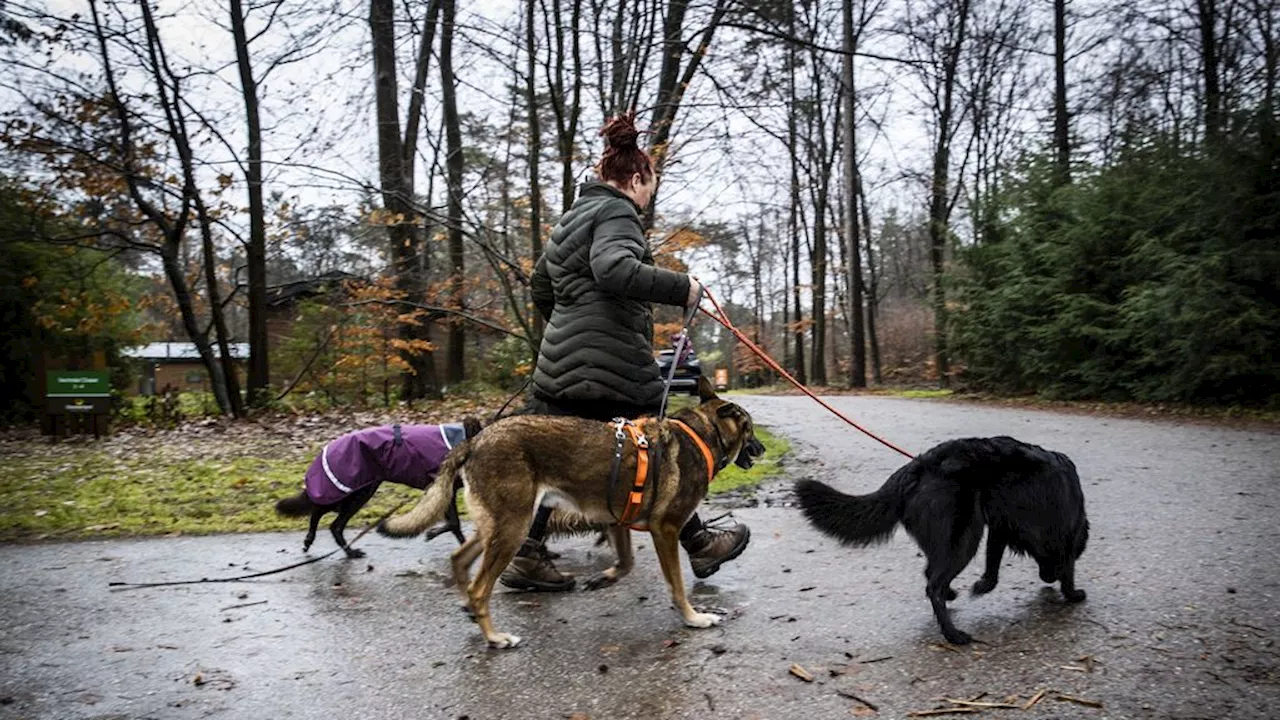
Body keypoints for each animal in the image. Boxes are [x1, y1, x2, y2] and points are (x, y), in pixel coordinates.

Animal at [275, 415, 481, 556]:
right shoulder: (442, 488)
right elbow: (453, 523)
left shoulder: (444, 492)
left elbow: (454, 524)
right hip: (356, 493)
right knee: (330, 521)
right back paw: (349, 552)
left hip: (352, 492)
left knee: (320, 512)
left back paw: (312, 540)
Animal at [373, 379, 762, 648]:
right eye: (750, 428)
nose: (759, 449)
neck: (701, 433)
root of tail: (476, 440)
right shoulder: (665, 529)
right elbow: (677, 585)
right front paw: (694, 617)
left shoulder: (616, 519)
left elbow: (626, 563)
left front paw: (604, 578)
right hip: (513, 528)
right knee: (481, 587)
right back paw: (495, 637)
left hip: (495, 526)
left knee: (459, 560)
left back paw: (469, 607)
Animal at [798, 435, 1090, 640]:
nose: (1047, 579)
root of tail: (917, 466)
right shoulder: (1066, 532)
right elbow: (1068, 569)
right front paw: (1073, 594)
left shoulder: (999, 527)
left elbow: (993, 565)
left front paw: (982, 586)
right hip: (965, 537)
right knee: (933, 584)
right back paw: (953, 634)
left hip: (954, 538)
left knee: (931, 573)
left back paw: (950, 596)